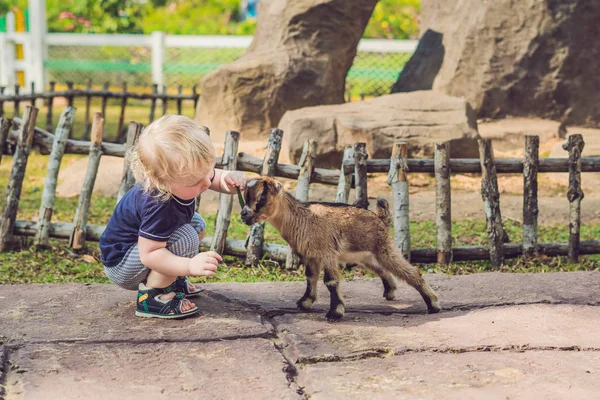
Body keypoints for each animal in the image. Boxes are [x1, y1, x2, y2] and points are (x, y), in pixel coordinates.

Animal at [239, 177, 440, 320]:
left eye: (261, 197)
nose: (243, 215)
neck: (301, 218)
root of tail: (381, 219)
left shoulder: (326, 252)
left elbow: (330, 281)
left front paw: (335, 313)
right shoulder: (311, 255)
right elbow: (310, 277)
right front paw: (305, 303)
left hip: (385, 248)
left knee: (410, 271)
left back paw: (433, 305)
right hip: (367, 256)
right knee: (382, 269)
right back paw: (390, 292)